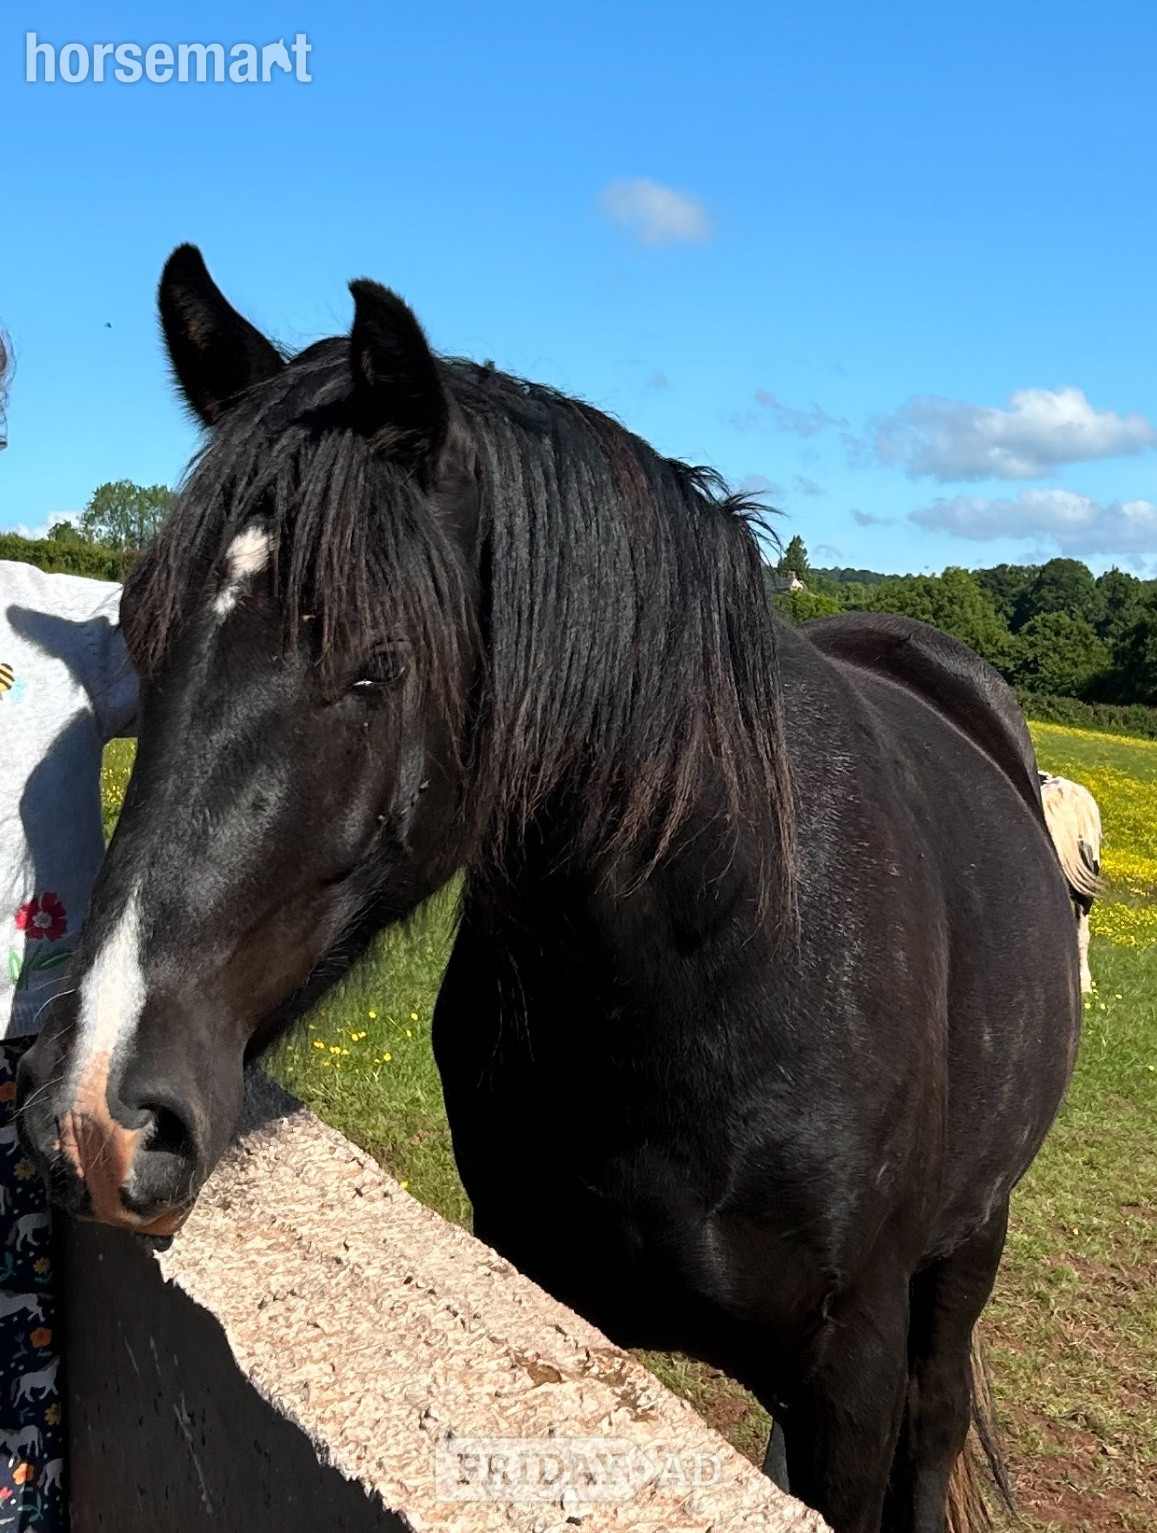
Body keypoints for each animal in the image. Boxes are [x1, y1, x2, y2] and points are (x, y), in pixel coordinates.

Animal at [16, 245, 1081, 1533]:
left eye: (377, 665)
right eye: (134, 627)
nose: (92, 1114)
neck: (724, 959)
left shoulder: (853, 1376)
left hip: (966, 1251)